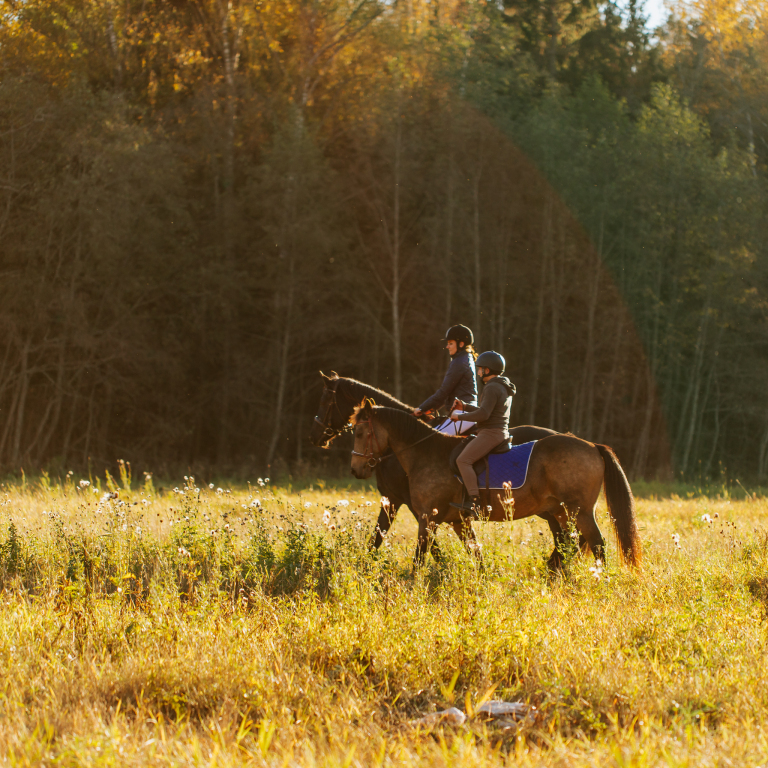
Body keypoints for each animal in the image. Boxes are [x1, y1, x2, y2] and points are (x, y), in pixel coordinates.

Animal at [306, 372, 584, 568]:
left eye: (326, 400)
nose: (315, 436)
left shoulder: (401, 501)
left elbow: (392, 539)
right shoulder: (403, 502)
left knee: (570, 540)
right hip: (551, 509)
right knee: (566, 540)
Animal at [352, 402, 640, 568]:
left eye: (359, 432)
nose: (356, 469)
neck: (425, 452)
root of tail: (591, 445)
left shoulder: (426, 517)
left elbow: (419, 557)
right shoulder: (458, 521)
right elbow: (475, 553)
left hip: (578, 511)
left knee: (596, 544)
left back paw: (598, 579)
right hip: (562, 511)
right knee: (572, 542)